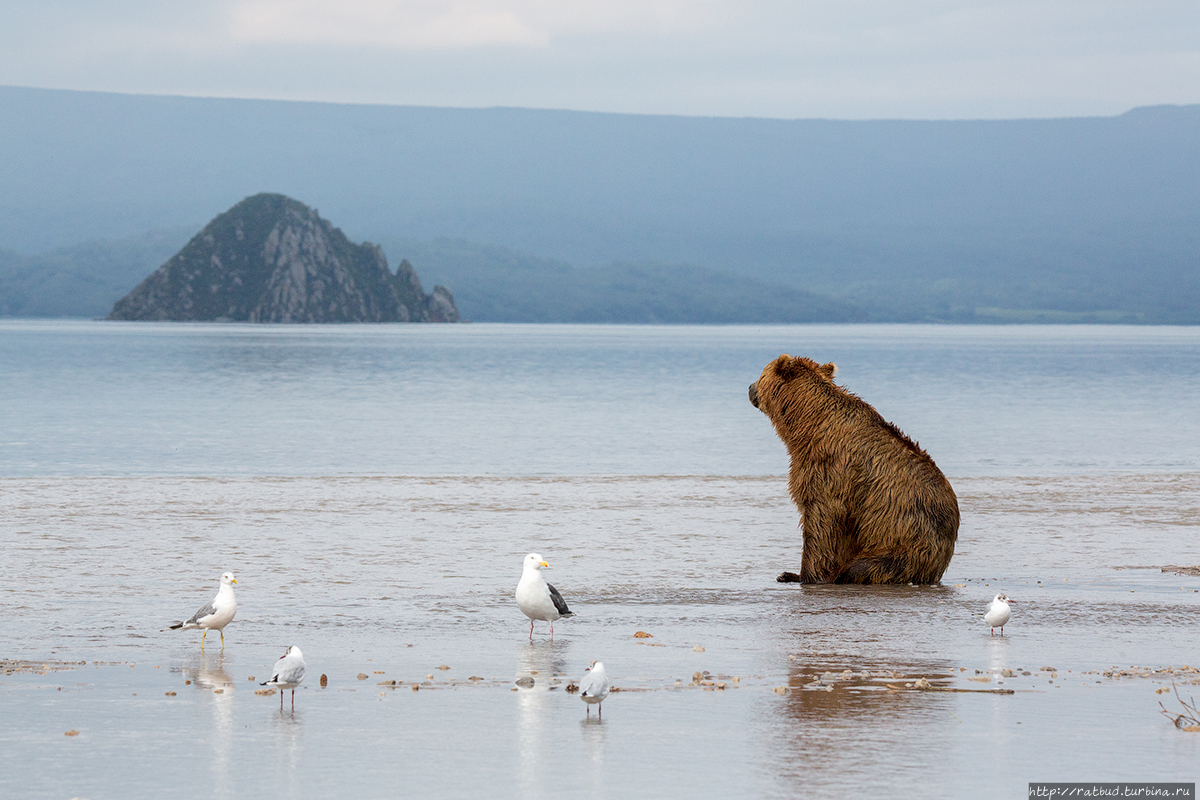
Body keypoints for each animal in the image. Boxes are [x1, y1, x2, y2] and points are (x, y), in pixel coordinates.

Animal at [748, 352, 955, 585]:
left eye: (761, 374)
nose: (749, 387)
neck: (807, 425)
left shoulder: (830, 469)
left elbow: (821, 521)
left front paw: (803, 575)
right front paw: (792, 574)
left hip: (906, 544)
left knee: (866, 567)